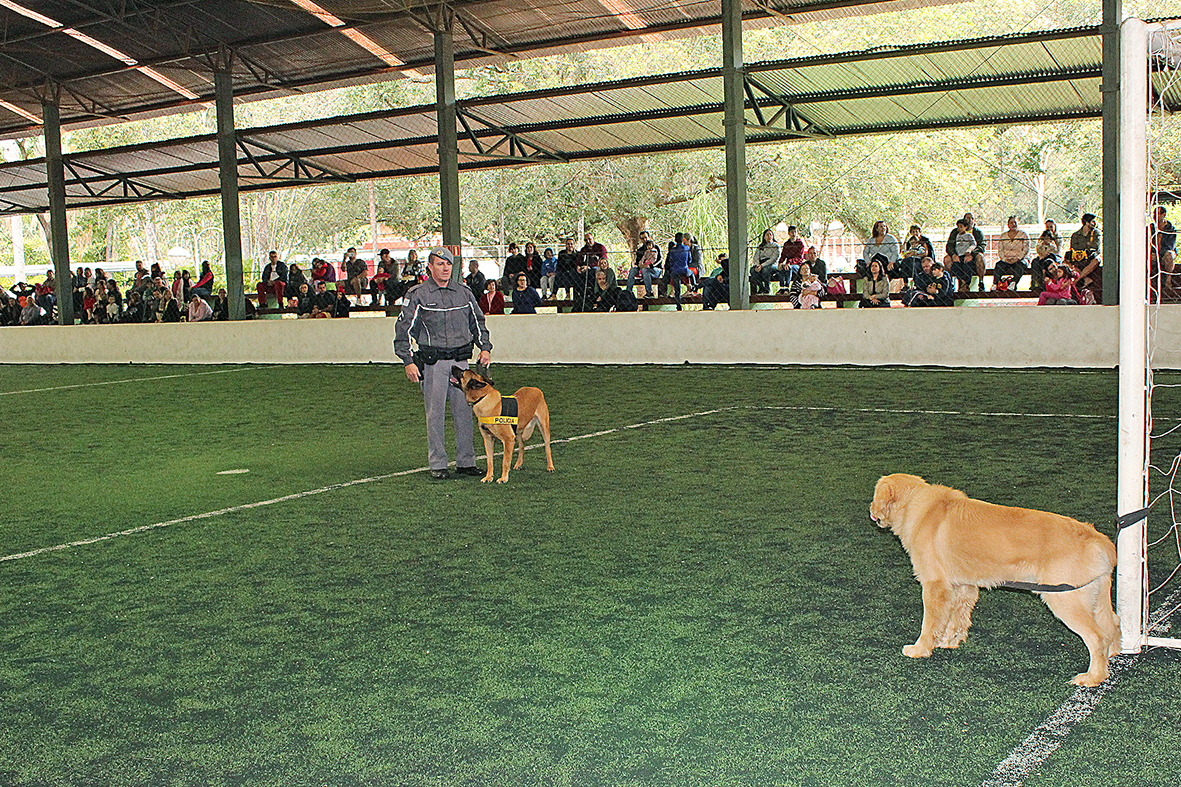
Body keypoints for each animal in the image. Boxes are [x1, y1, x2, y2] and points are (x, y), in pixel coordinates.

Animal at [873, 467, 1119, 685]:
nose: (871, 512)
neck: (915, 504)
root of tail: (1098, 539)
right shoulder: (963, 586)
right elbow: (957, 619)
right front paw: (950, 641)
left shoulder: (935, 585)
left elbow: (930, 623)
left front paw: (920, 648)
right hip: (1095, 599)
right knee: (1113, 625)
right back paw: (1113, 659)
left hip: (1065, 599)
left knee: (1098, 637)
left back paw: (1092, 678)